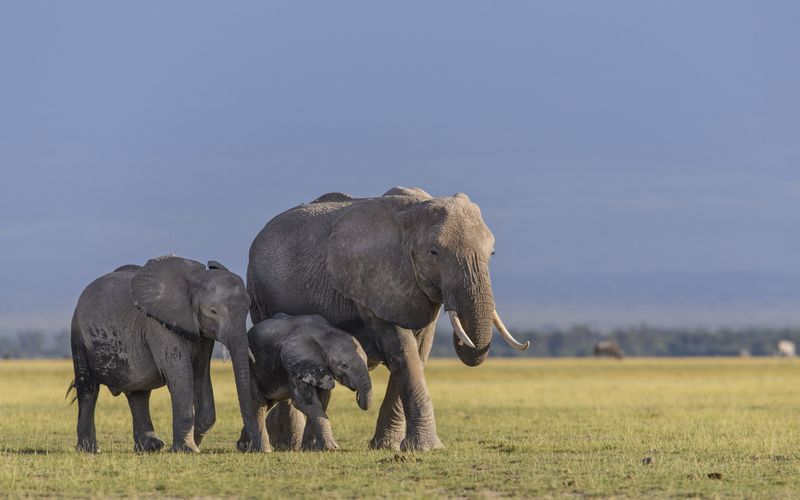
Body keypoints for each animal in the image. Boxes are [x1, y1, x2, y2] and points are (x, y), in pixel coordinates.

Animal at [69, 254, 262, 454]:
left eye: (248, 308)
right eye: (213, 311)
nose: (253, 448)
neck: (194, 279)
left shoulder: (202, 334)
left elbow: (200, 375)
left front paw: (192, 442)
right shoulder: (160, 325)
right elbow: (180, 373)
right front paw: (188, 449)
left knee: (138, 393)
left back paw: (150, 447)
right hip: (78, 334)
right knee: (88, 388)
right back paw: (90, 450)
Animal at [234, 314, 372, 452]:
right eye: (344, 365)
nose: (358, 395)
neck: (325, 334)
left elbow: (322, 400)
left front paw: (310, 449)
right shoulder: (296, 364)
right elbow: (305, 402)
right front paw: (331, 448)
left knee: (266, 404)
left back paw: (243, 446)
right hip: (252, 370)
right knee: (258, 404)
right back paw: (262, 450)